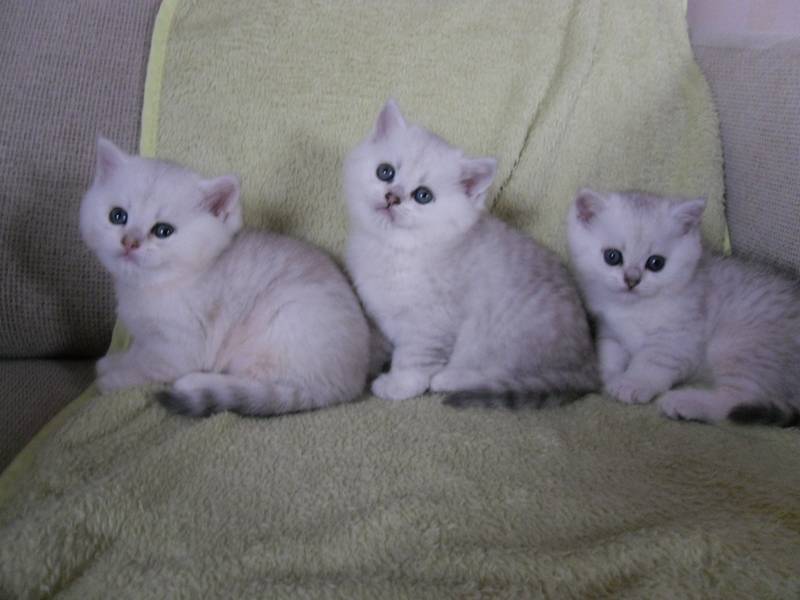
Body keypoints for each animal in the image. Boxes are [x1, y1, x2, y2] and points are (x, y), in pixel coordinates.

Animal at [80, 136, 370, 417]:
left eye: (163, 231)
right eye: (117, 216)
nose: (130, 242)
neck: (153, 285)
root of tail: (346, 386)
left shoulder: (179, 348)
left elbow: (144, 368)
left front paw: (111, 378)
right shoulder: (146, 337)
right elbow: (137, 352)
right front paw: (114, 362)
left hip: (280, 330)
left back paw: (194, 383)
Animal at [343, 99, 599, 406]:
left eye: (423, 196)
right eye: (385, 172)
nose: (392, 197)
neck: (397, 247)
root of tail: (588, 365)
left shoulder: (431, 322)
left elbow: (415, 359)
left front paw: (398, 385)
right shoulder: (382, 314)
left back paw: (450, 379)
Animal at [567, 188, 800, 425]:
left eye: (656, 263)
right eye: (612, 256)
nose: (632, 280)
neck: (634, 309)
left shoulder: (678, 337)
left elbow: (651, 361)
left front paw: (631, 383)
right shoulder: (609, 330)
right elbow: (610, 352)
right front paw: (607, 377)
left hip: (740, 347)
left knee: (734, 401)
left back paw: (684, 403)